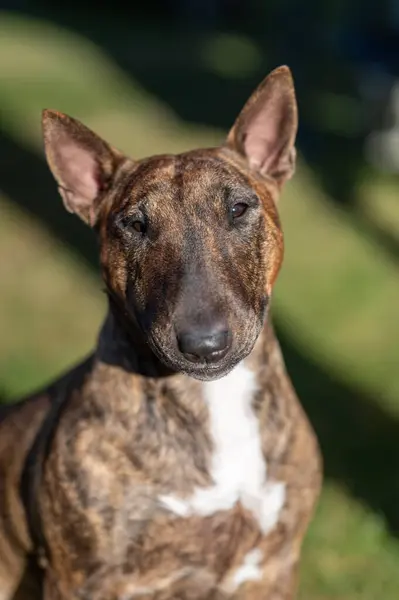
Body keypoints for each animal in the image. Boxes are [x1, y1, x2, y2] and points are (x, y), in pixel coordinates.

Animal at [0, 67, 322, 600]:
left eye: (239, 209)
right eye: (134, 224)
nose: (204, 344)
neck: (213, 401)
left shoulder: (272, 566)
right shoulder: (82, 579)